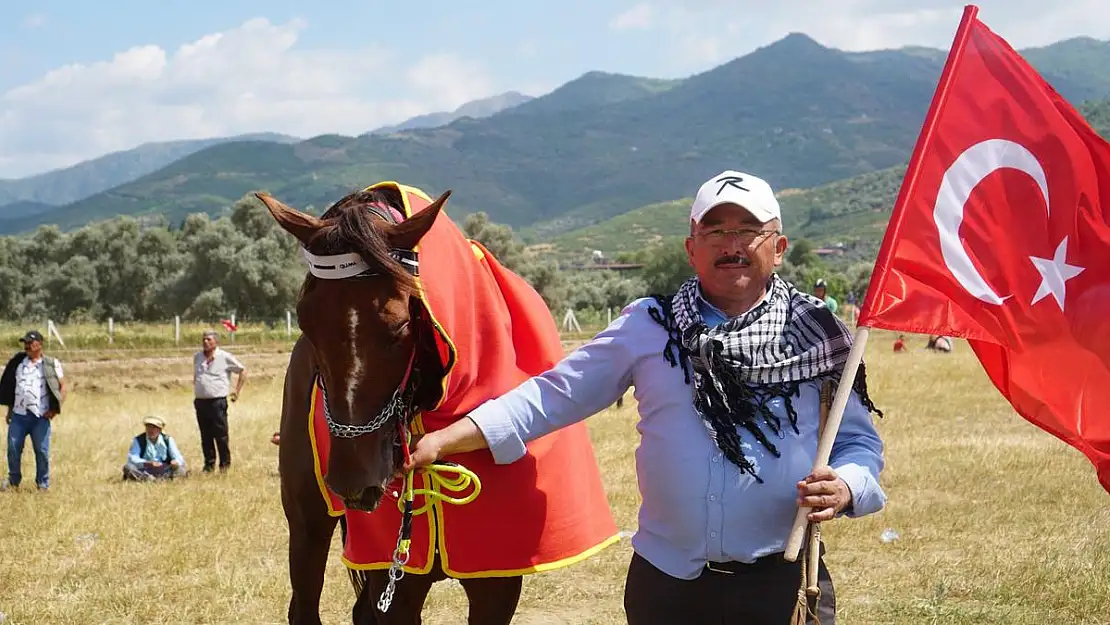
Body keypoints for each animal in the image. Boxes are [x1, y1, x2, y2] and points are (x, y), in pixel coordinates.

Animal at [260, 182, 626, 625]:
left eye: (401, 324)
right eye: (305, 322)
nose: (353, 482)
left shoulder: (497, 582)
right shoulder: (395, 580)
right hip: (308, 525)